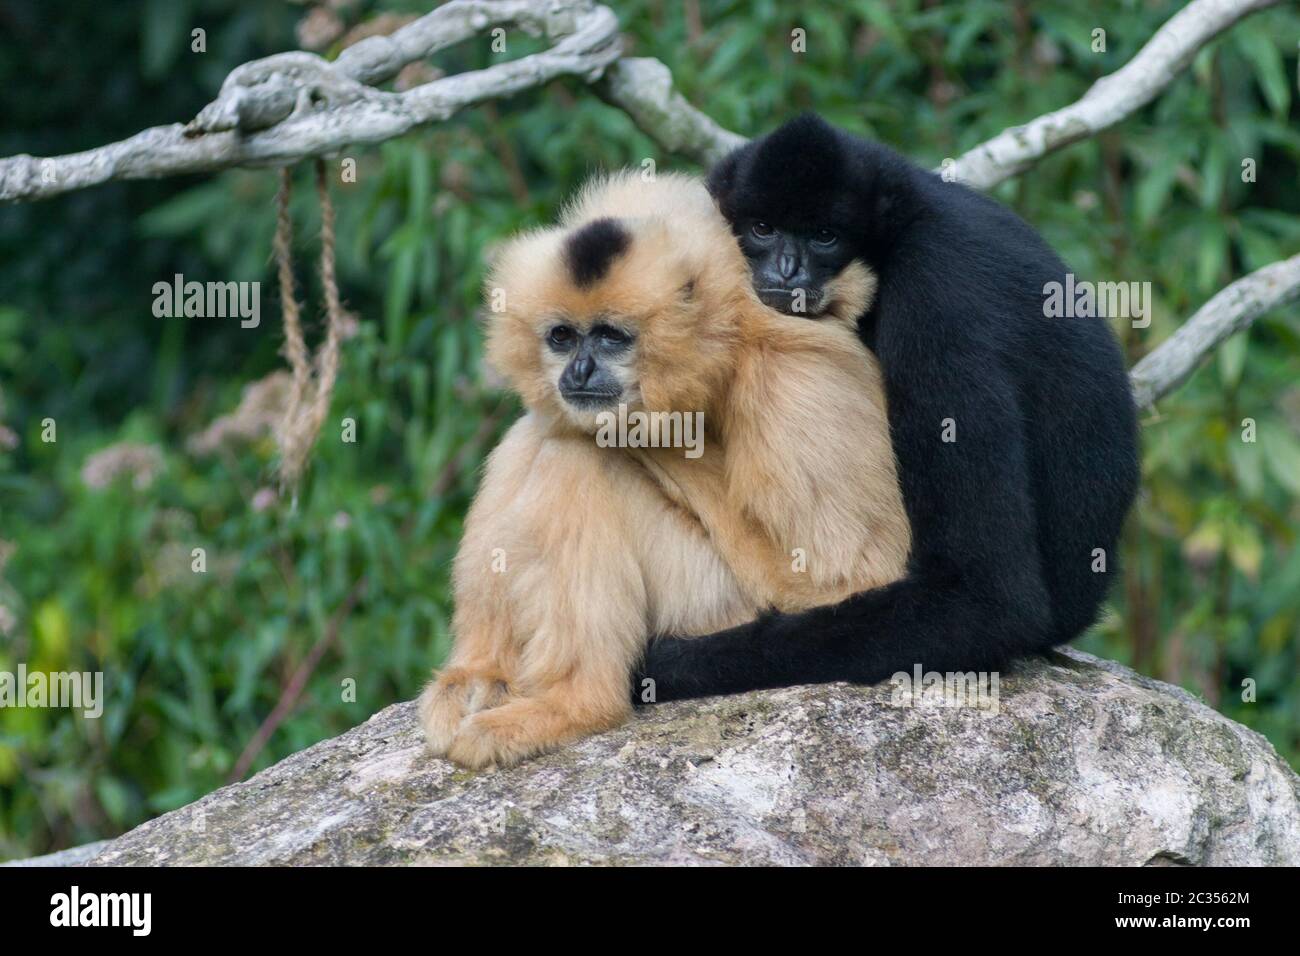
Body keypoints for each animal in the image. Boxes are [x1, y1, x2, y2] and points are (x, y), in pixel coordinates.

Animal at [418, 171, 910, 768]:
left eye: (611, 336)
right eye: (562, 336)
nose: (579, 371)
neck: (719, 340)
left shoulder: (796, 382)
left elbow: (845, 581)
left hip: (717, 601)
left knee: (573, 454)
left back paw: (572, 705)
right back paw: (480, 674)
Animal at [632, 112, 1141, 702]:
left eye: (824, 236)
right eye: (762, 229)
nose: (787, 270)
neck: (903, 225)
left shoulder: (936, 299)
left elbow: (988, 599)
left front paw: (662, 665)